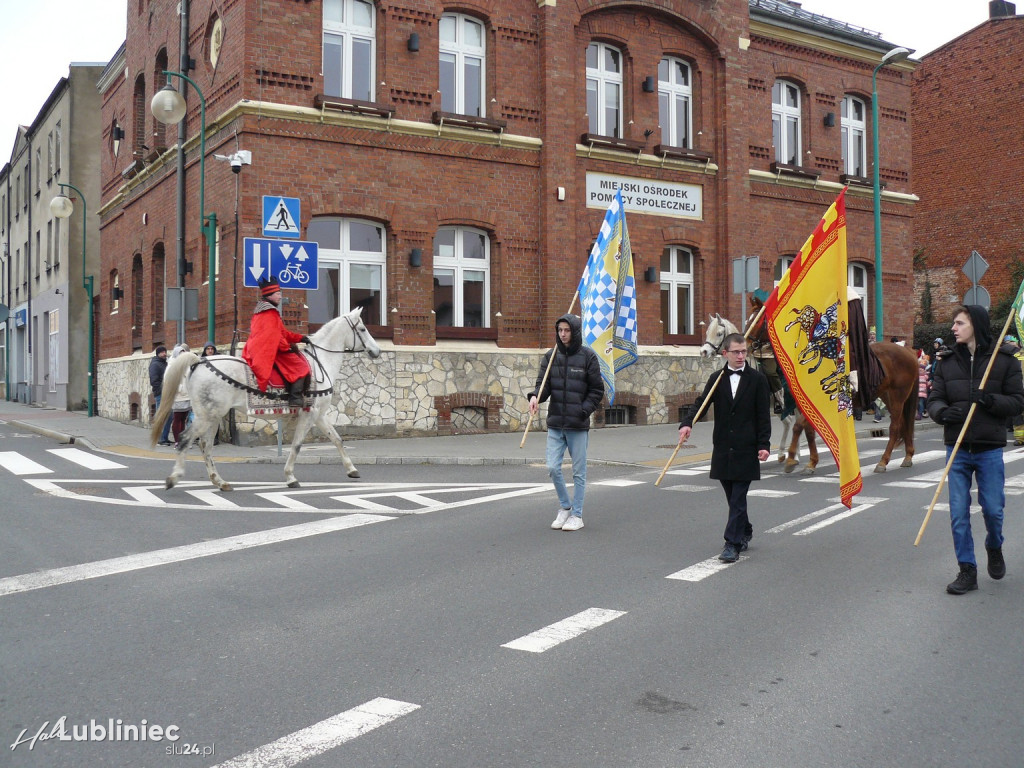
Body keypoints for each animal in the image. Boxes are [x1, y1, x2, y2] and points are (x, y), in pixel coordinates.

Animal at [148, 305, 380, 489]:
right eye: (362, 329)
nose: (376, 351)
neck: (320, 361)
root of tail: (199, 361)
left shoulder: (319, 415)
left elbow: (337, 439)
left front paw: (352, 469)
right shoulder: (309, 414)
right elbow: (297, 445)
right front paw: (290, 477)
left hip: (212, 417)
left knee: (205, 446)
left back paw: (219, 481)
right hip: (207, 416)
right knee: (185, 439)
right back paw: (174, 477)